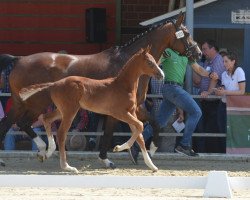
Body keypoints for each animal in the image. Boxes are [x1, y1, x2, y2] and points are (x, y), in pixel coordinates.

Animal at [19, 46, 164, 172]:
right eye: (150, 62)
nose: (161, 75)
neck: (123, 86)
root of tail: (55, 84)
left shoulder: (132, 112)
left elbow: (139, 135)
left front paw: (152, 165)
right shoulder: (119, 113)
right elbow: (140, 126)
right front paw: (118, 148)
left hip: (62, 110)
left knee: (46, 118)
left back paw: (46, 153)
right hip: (70, 111)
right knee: (61, 133)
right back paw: (67, 166)